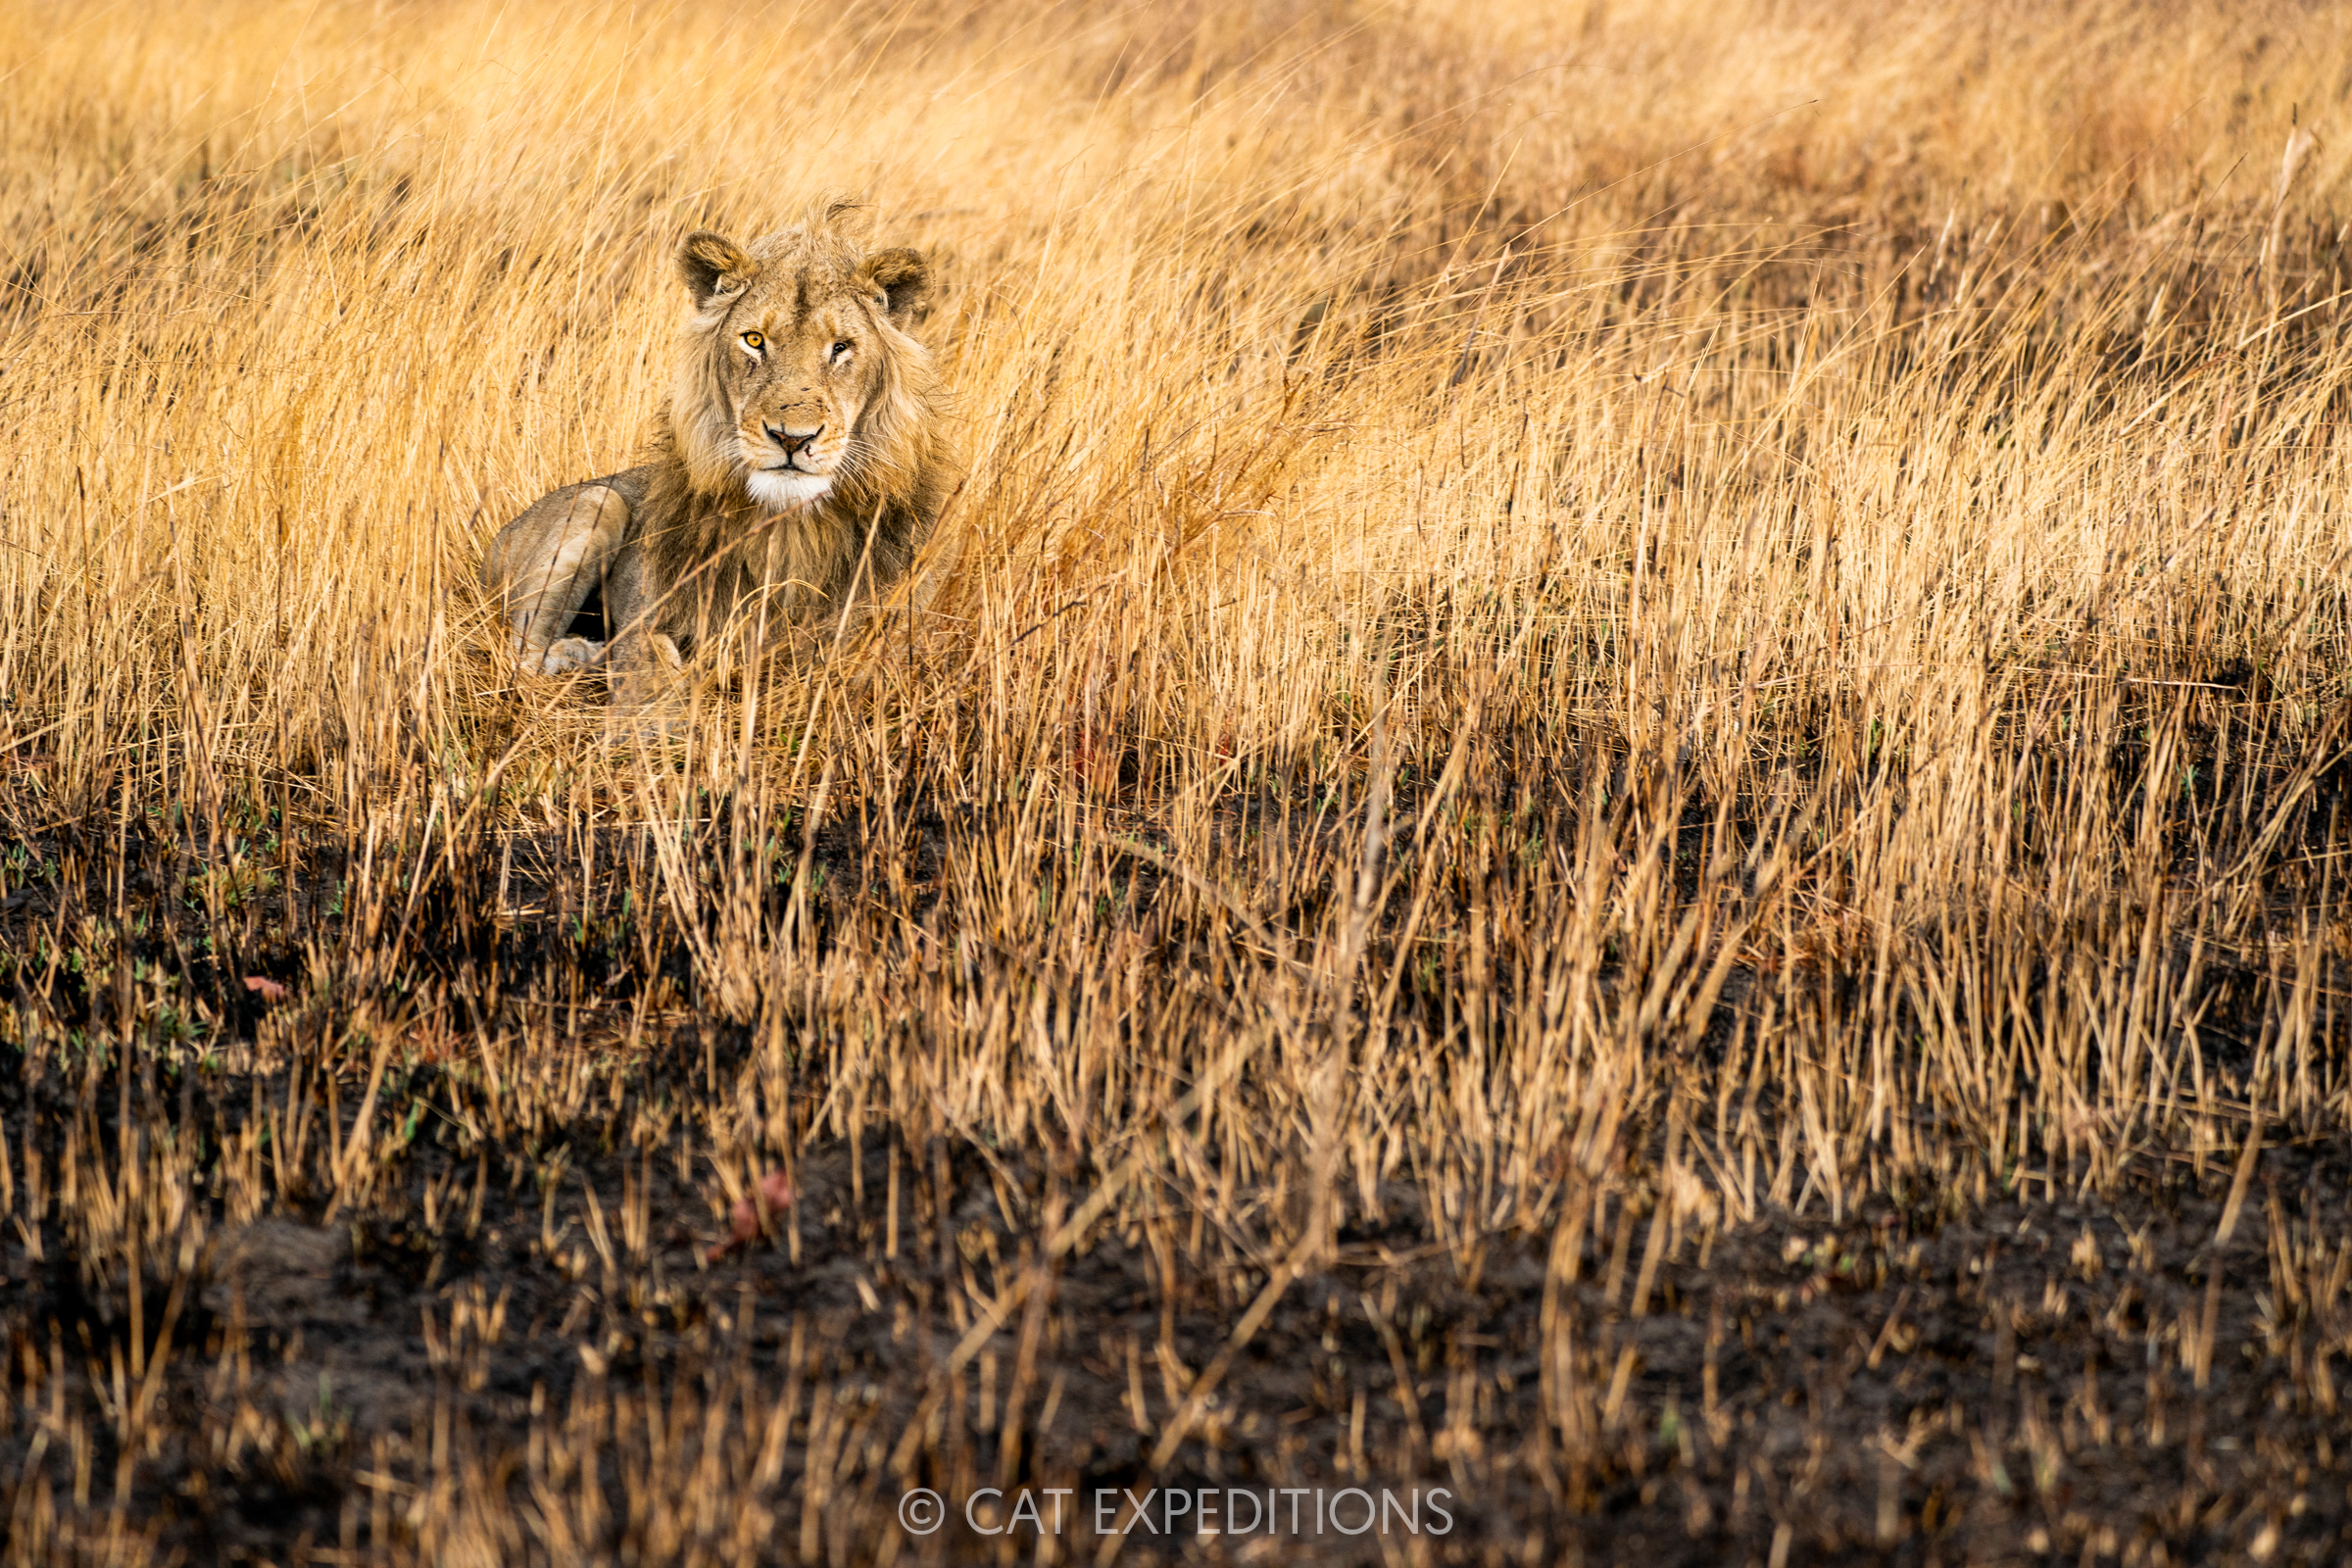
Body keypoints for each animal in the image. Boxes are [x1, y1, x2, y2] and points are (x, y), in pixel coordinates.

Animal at [483, 208, 954, 698]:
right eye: (754, 340)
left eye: (841, 347)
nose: (791, 438)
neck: (791, 533)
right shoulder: (644, 618)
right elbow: (651, 667)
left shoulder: (886, 643)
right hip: (599, 502)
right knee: (519, 656)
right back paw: (579, 654)